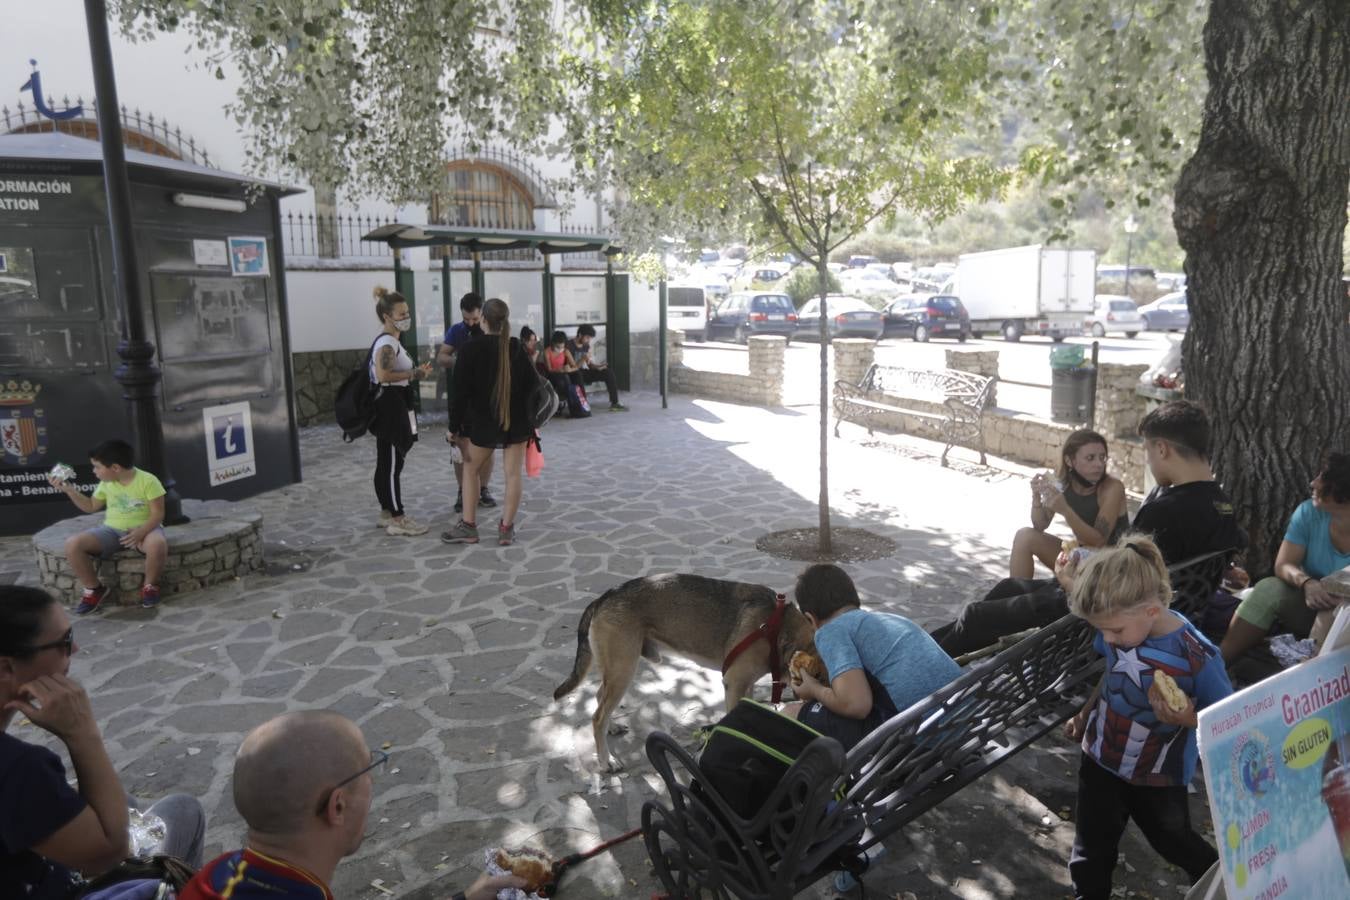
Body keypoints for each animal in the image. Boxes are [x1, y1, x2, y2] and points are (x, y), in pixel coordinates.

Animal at [550, 574, 810, 771]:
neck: (778, 629)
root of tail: (603, 597)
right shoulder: (734, 684)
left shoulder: (747, 685)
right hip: (623, 669)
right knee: (597, 717)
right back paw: (606, 761)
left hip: (616, 671)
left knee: (599, 699)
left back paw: (611, 728)